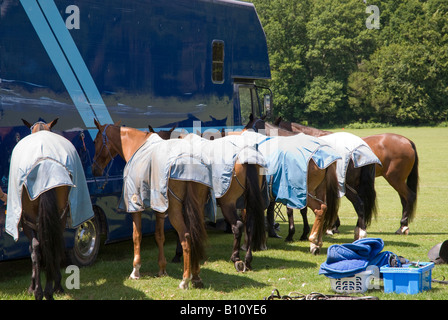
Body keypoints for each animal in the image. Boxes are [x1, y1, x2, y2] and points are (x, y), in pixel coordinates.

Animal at [15, 118, 70, 300]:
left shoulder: (28, 224)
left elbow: (33, 250)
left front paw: (33, 286)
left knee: (39, 248)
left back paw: (41, 291)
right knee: (49, 246)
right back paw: (48, 290)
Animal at [92, 119, 212, 288]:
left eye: (95, 141)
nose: (94, 169)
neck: (137, 146)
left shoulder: (135, 206)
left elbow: (137, 235)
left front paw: (135, 270)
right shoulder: (160, 208)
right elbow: (159, 236)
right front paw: (162, 269)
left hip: (176, 211)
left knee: (186, 237)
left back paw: (185, 279)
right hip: (197, 208)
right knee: (196, 236)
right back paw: (196, 277)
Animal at [150, 124, 268, 272]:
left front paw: (179, 255)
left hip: (227, 203)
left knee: (238, 226)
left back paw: (236, 258)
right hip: (248, 202)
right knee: (250, 225)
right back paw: (248, 259)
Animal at [274, 117, 418, 235]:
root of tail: (407, 141)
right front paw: (333, 226)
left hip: (395, 179)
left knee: (409, 196)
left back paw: (402, 226)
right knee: (403, 200)